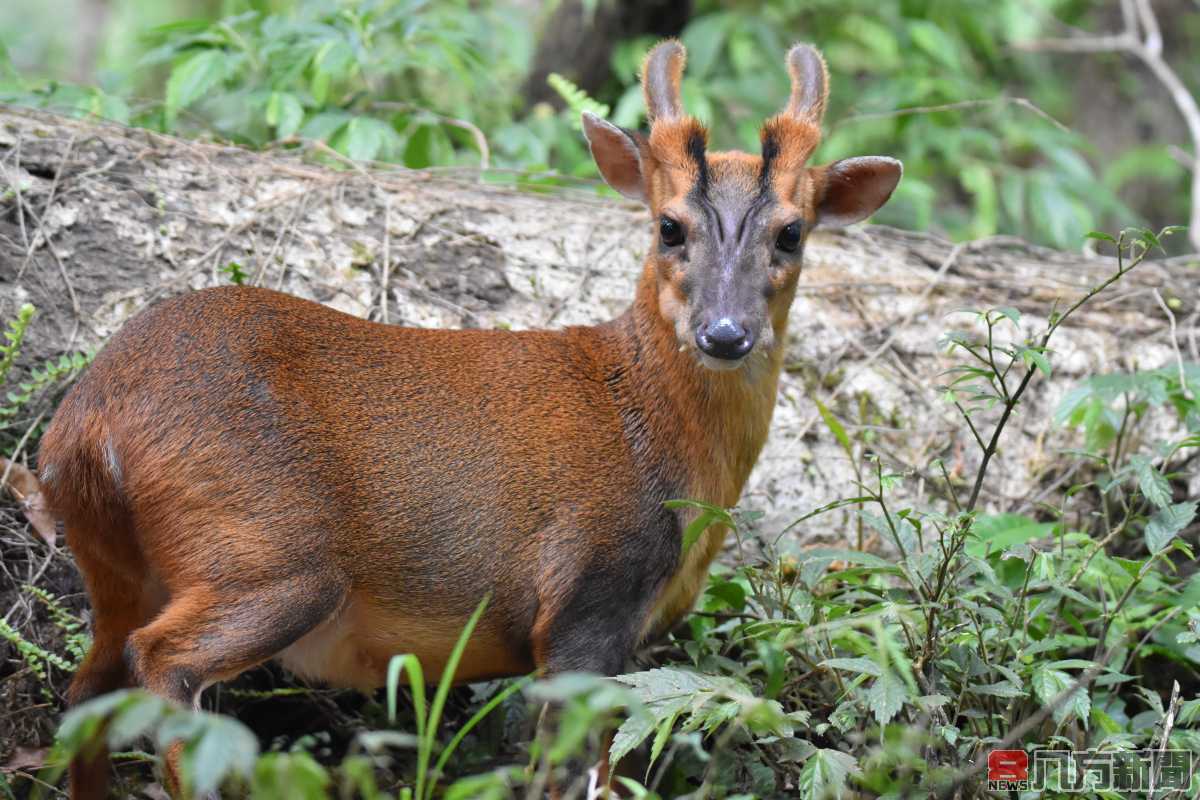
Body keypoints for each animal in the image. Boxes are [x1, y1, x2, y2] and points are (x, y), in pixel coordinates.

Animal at [39, 38, 902, 800]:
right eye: (670, 227)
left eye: (792, 231)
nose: (725, 333)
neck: (649, 424)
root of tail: (89, 421)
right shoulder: (586, 601)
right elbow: (576, 773)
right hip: (266, 550)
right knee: (164, 665)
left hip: (115, 564)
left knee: (88, 691)